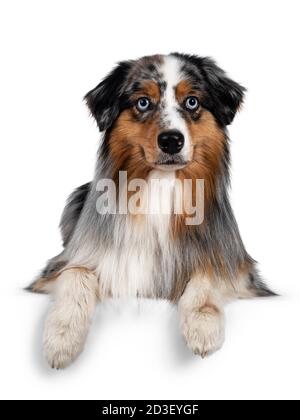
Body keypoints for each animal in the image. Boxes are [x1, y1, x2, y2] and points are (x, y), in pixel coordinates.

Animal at [27, 52, 274, 368]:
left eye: (192, 101)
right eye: (143, 102)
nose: (171, 140)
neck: (161, 184)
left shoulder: (236, 264)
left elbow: (207, 274)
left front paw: (203, 327)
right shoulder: (67, 262)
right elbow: (76, 275)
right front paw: (61, 336)